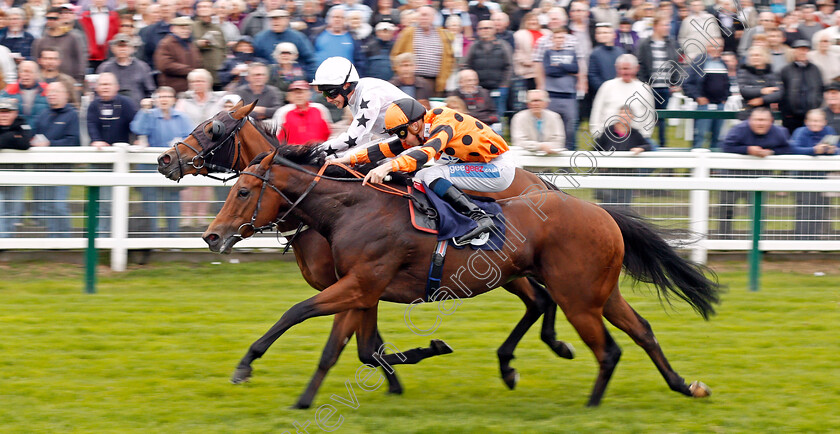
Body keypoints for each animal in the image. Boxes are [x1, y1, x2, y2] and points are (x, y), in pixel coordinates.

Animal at [157, 101, 576, 404]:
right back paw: (533, 354)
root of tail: (539, 181)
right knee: (540, 300)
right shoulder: (362, 288)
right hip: (509, 272)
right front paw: (399, 378)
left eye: (211, 129)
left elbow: (354, 342)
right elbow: (367, 346)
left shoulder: (358, 284)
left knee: (541, 298)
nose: (164, 159)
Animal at [202, 145, 720, 406]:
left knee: (605, 347)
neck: (351, 208)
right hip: (598, 293)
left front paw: (257, 372)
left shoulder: (358, 284)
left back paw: (588, 399)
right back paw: (685, 385)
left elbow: (302, 317)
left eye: (243, 191)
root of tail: (602, 213)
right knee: (641, 331)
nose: (211, 235)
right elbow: (359, 349)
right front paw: (422, 354)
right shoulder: (362, 290)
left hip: (578, 298)